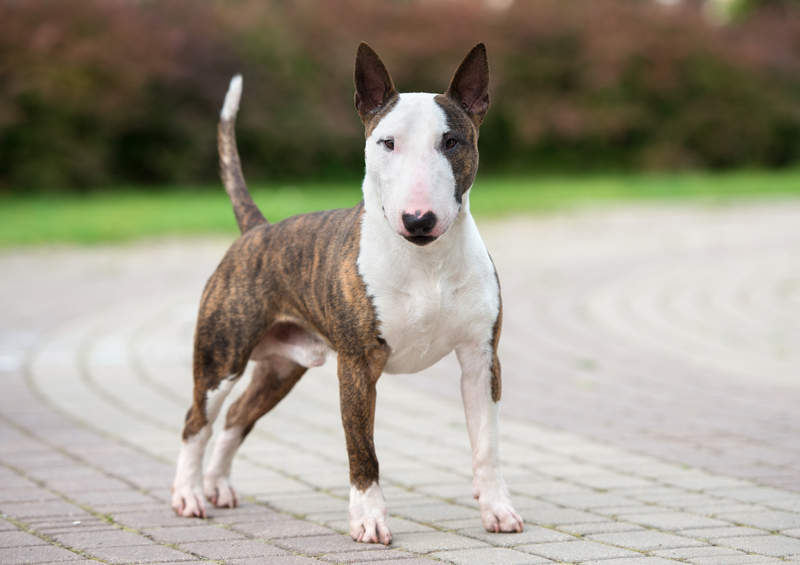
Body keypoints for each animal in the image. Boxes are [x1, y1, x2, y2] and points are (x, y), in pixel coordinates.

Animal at [171, 41, 520, 544]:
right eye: (387, 142)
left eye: (452, 141)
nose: (418, 220)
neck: (425, 262)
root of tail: (257, 229)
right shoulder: (357, 366)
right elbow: (362, 449)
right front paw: (369, 520)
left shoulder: (480, 360)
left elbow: (486, 446)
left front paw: (497, 510)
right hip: (222, 357)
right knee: (197, 421)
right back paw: (189, 495)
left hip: (280, 368)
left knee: (236, 417)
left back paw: (218, 486)